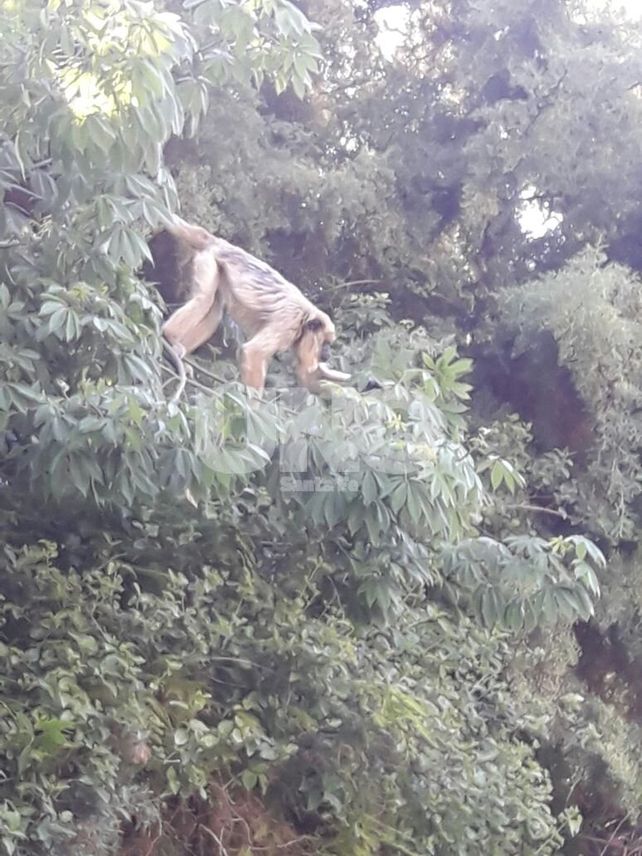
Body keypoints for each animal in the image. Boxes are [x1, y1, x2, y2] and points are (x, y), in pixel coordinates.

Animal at [145, 218, 350, 399]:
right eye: (325, 342)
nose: (327, 354)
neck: (305, 318)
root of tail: (220, 243)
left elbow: (304, 374)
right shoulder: (288, 324)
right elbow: (253, 352)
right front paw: (252, 407)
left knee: (214, 311)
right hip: (208, 260)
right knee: (204, 299)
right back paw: (169, 336)